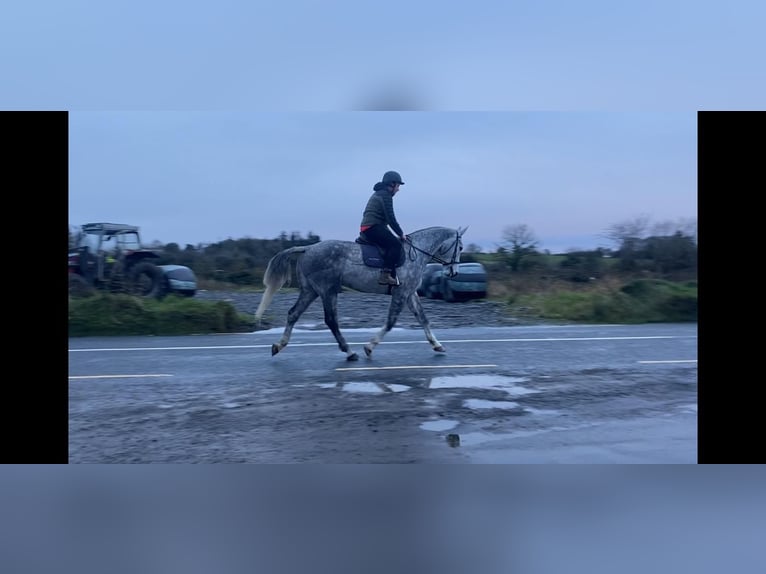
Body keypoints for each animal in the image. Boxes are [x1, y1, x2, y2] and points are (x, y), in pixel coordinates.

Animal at [256, 228, 468, 360]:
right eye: (460, 247)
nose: (453, 273)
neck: (416, 254)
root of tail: (308, 248)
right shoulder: (401, 293)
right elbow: (390, 322)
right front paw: (369, 346)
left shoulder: (410, 294)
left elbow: (423, 318)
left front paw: (437, 345)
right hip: (327, 290)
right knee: (331, 320)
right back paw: (349, 352)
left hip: (311, 291)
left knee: (293, 314)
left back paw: (279, 345)